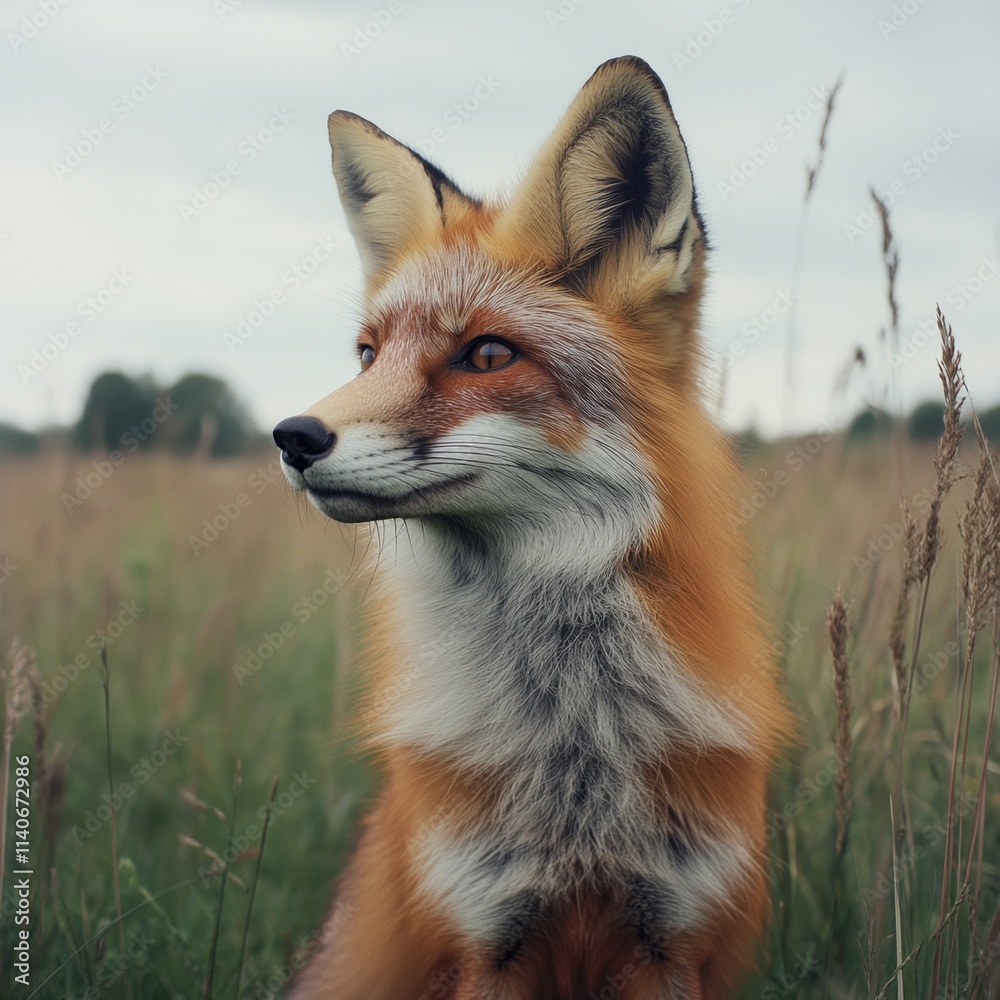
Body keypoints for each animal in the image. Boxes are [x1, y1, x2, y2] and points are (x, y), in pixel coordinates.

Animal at [272, 55, 789, 999]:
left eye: (486, 354)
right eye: (368, 355)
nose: (292, 437)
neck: (572, 746)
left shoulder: (671, 939)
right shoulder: (482, 936)